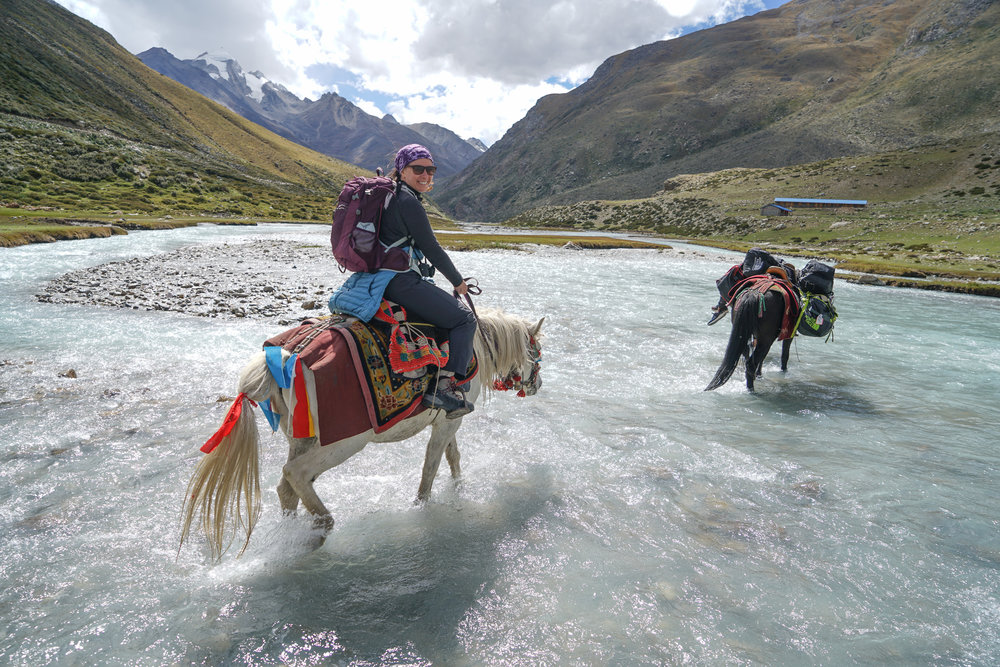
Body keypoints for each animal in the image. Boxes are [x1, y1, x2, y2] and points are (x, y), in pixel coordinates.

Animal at [176, 310, 544, 560]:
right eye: (537, 352)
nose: (537, 385)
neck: (477, 347)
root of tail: (288, 355)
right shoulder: (447, 423)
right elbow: (431, 468)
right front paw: (423, 508)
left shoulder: (447, 420)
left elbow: (452, 456)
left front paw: (459, 488)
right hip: (344, 442)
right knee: (296, 475)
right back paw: (320, 529)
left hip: (301, 438)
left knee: (286, 489)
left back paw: (291, 534)